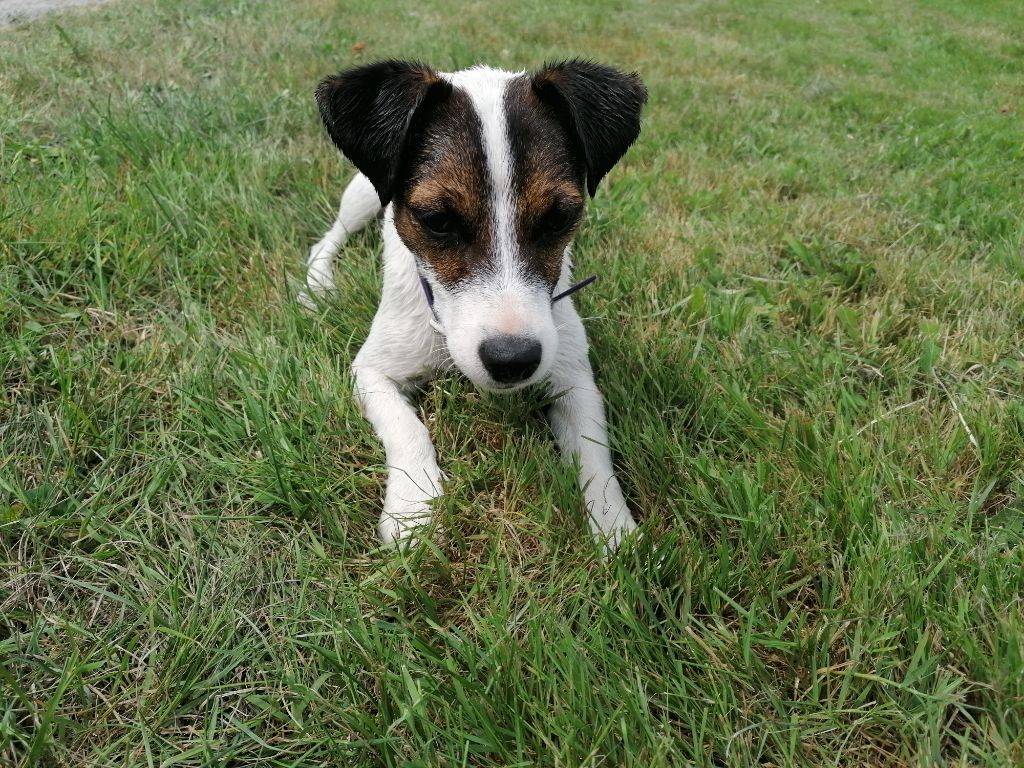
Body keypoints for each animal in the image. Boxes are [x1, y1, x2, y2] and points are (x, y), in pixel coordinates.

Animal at [299, 58, 647, 552]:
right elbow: (408, 429)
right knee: (329, 237)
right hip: (363, 194)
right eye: (437, 221)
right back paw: (317, 286)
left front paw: (613, 526)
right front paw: (414, 510)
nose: (512, 361)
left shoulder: (574, 377)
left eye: (559, 218)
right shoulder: (371, 371)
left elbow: (595, 454)